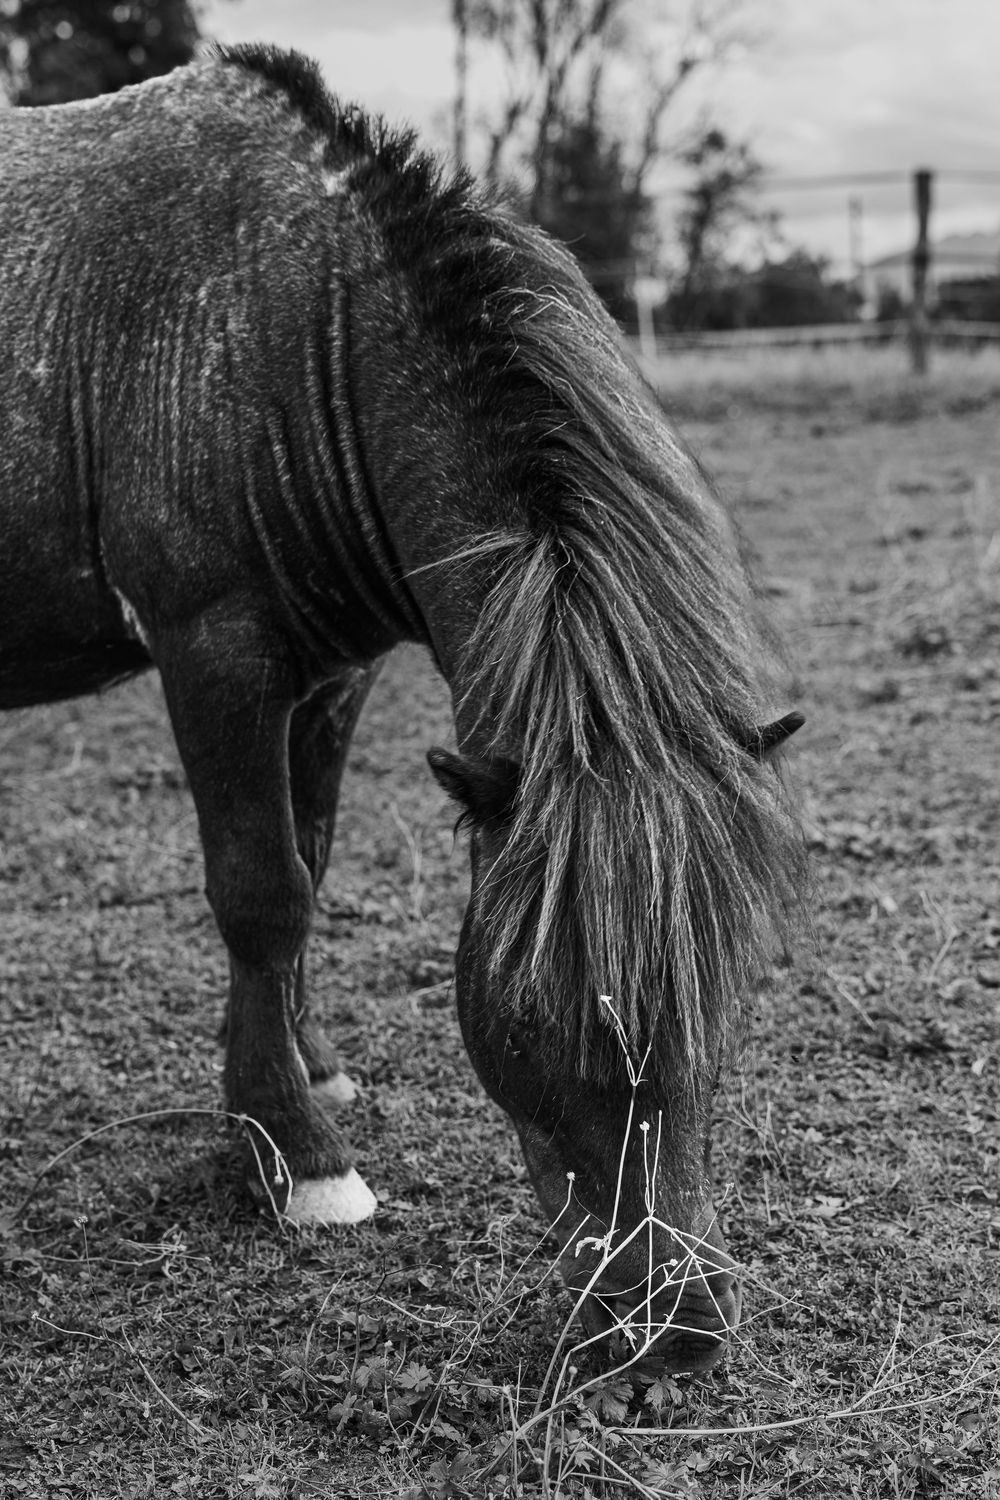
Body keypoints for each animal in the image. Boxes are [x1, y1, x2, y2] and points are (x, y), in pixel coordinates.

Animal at [0, 44, 803, 1374]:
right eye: (539, 1002)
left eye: (723, 983)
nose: (674, 1326)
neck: (284, 323)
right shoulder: (214, 649)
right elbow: (260, 890)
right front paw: (299, 1159)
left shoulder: (332, 673)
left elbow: (309, 870)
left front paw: (303, 1081)